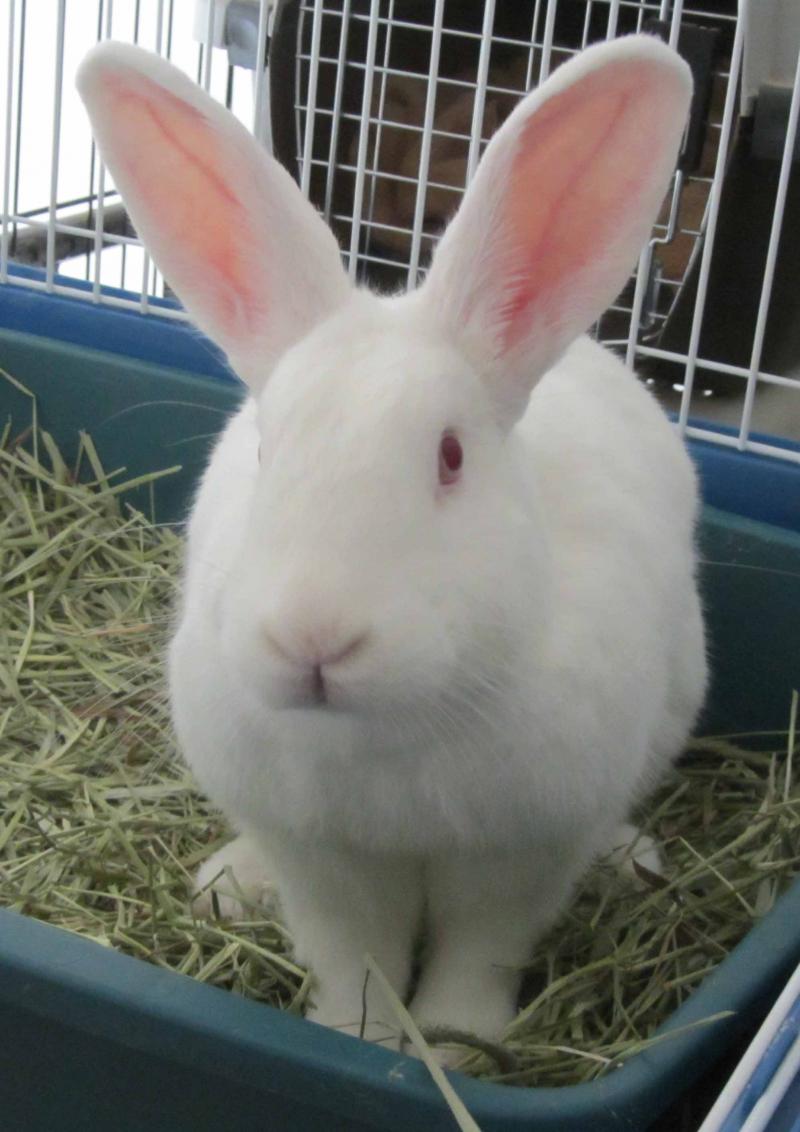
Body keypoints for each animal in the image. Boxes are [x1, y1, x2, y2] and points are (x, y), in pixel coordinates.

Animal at [77, 34, 707, 1053]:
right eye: (268, 447)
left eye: (450, 456)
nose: (314, 639)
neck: (382, 736)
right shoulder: (322, 859)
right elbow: (353, 954)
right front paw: (360, 1037)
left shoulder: (519, 855)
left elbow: (477, 953)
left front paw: (457, 1044)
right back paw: (230, 886)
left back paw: (629, 862)